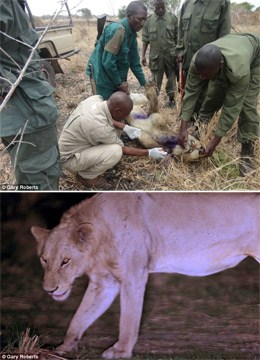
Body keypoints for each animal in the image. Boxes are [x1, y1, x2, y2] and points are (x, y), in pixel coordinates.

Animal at [31, 194, 258, 360]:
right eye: (44, 259)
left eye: (65, 261)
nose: (49, 290)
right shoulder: (104, 283)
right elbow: (80, 316)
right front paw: (64, 347)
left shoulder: (134, 275)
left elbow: (128, 319)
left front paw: (121, 351)